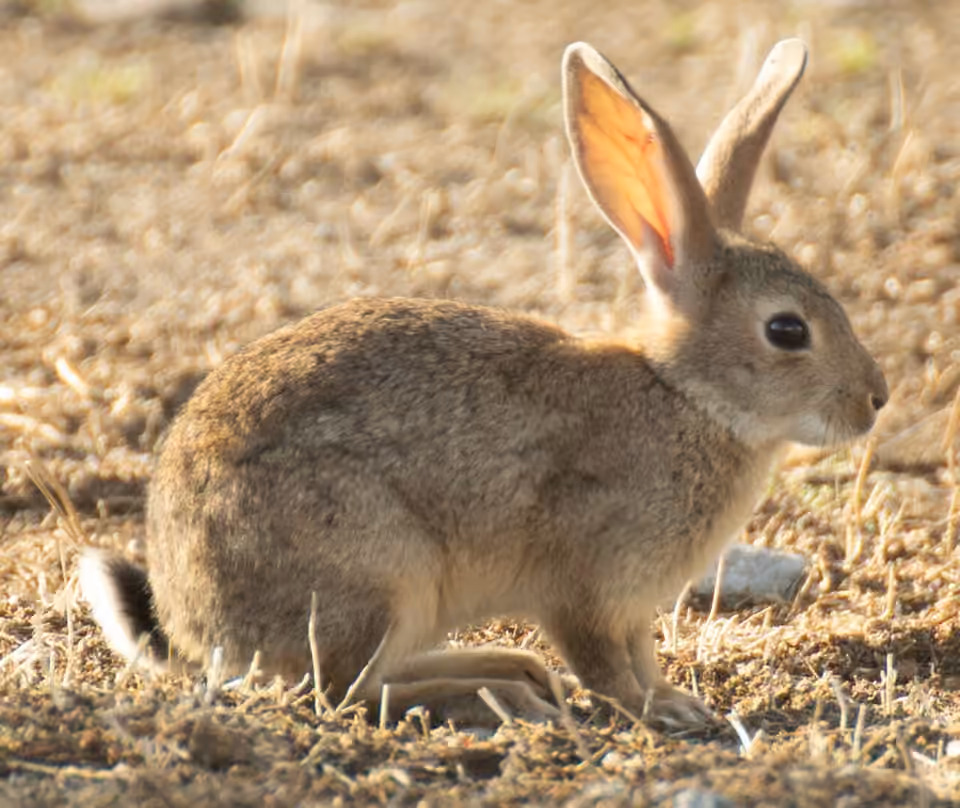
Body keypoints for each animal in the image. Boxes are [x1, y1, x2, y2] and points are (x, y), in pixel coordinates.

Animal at [79, 38, 887, 729]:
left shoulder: (631, 607)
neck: (685, 395)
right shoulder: (587, 583)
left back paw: (509, 670)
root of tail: (193, 620)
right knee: (342, 692)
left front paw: (673, 699)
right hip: (378, 574)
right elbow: (607, 669)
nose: (874, 399)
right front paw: (662, 713)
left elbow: (641, 657)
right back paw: (499, 693)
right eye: (788, 330)